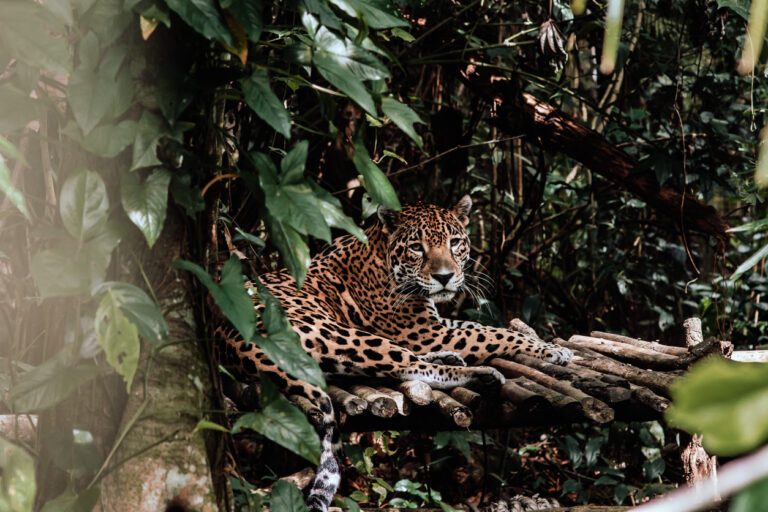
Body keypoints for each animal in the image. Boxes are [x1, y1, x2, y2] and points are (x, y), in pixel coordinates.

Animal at [214, 195, 573, 512]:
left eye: (455, 242)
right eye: (417, 248)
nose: (445, 277)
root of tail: (234, 345)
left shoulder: (437, 325)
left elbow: (481, 325)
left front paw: (545, 341)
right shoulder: (427, 333)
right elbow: (493, 332)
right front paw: (554, 351)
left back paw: (450, 359)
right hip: (341, 335)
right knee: (408, 365)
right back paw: (480, 375)